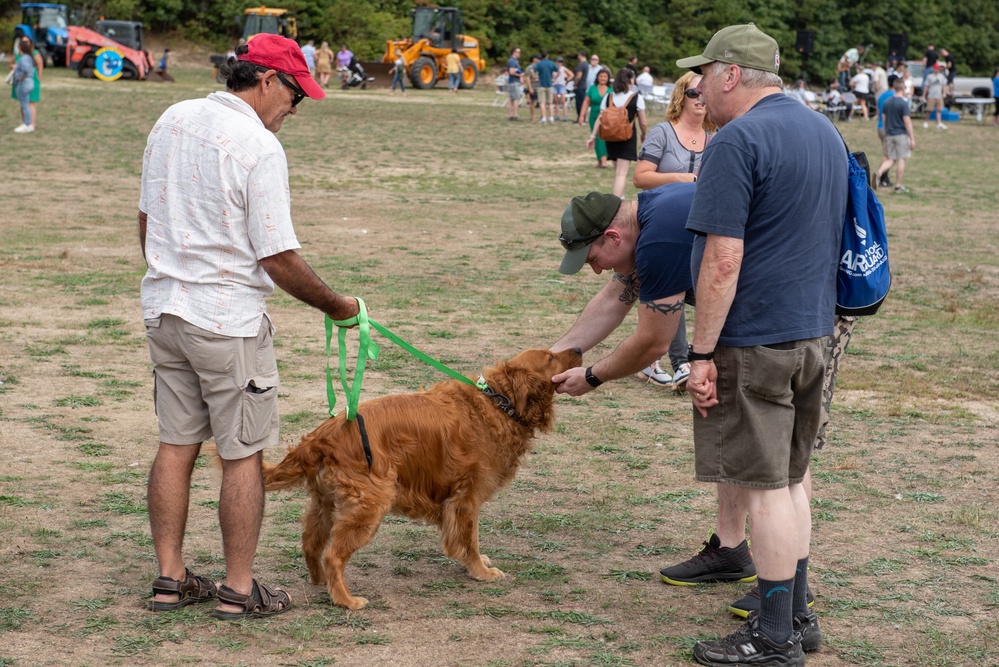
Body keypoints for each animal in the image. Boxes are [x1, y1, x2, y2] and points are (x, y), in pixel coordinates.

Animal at [262, 350, 584, 612]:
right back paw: (345, 599)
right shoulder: (467, 498)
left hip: (327, 503)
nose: (579, 349)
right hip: (368, 506)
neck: (497, 402)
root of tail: (322, 437)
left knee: (310, 543)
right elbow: (470, 539)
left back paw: (320, 583)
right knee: (333, 556)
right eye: (551, 357)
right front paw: (480, 571)